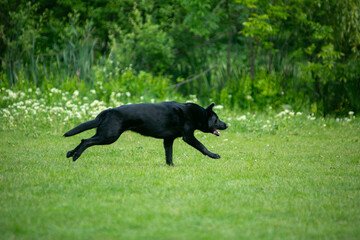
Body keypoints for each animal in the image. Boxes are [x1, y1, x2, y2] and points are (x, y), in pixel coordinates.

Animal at [64, 101, 228, 165]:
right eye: (217, 119)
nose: (226, 125)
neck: (196, 114)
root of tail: (108, 111)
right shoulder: (188, 137)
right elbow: (202, 147)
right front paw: (214, 155)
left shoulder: (168, 140)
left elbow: (169, 154)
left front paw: (171, 166)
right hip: (109, 136)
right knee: (86, 141)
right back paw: (75, 156)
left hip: (105, 134)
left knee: (84, 140)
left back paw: (71, 153)